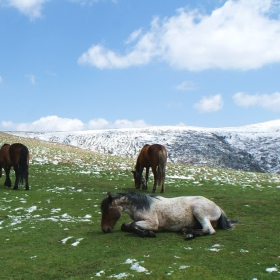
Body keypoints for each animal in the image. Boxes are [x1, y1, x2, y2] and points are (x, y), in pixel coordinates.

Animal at [99, 191, 235, 240]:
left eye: (107, 211)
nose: (105, 229)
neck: (143, 206)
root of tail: (218, 208)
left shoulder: (152, 223)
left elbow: (133, 226)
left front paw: (147, 233)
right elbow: (125, 225)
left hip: (198, 211)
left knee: (209, 230)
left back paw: (190, 234)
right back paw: (187, 230)